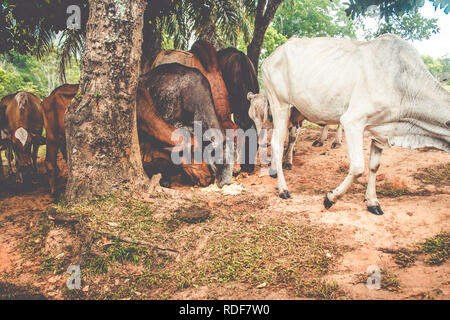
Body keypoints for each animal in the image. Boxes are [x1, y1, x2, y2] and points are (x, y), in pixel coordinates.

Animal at [256, 34, 450, 215]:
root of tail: (270, 57)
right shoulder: (353, 121)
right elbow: (358, 168)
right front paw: (330, 198)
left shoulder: (379, 131)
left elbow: (374, 167)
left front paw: (372, 202)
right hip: (280, 105)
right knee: (277, 144)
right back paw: (283, 189)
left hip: (294, 110)